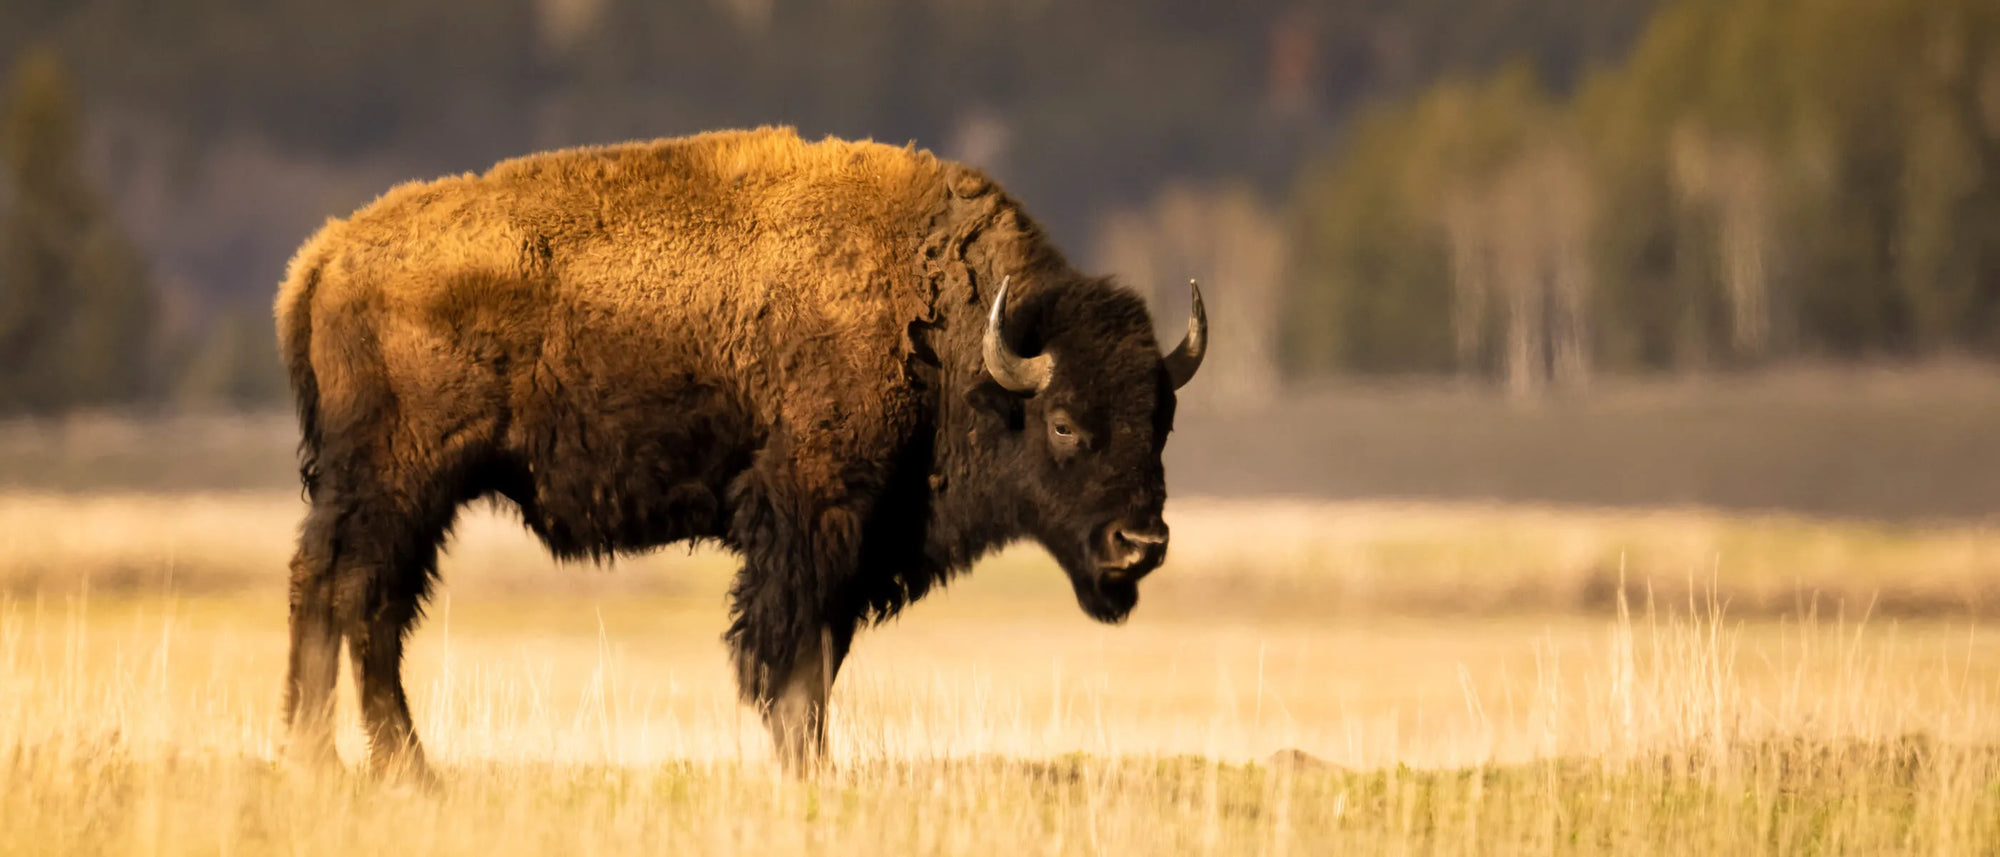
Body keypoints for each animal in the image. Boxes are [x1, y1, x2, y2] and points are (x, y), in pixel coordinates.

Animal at [275, 127, 1205, 777]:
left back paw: (323, 757)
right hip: (401, 483)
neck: (946, 321)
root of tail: (323, 257)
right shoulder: (812, 520)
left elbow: (820, 654)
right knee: (362, 599)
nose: (1141, 543)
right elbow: (790, 652)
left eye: (1163, 419)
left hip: (379, 493)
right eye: (1065, 423)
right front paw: (807, 765)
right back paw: (399, 767)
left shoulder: (858, 542)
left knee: (334, 591)